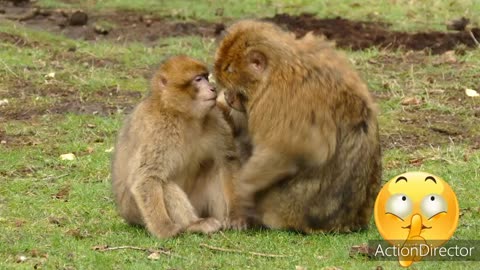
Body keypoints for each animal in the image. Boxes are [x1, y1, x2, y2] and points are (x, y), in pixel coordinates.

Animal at [112, 54, 240, 238]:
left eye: (206, 77)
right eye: (198, 79)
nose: (213, 88)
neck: (180, 115)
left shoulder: (214, 118)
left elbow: (227, 160)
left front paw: (236, 215)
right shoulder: (156, 130)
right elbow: (147, 178)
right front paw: (163, 228)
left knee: (217, 168)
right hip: (136, 212)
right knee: (164, 184)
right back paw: (194, 224)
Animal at [216, 20, 380, 232]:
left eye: (237, 91)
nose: (228, 97)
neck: (280, 66)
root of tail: (349, 223)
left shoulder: (277, 97)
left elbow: (293, 150)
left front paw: (242, 194)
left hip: (287, 207)